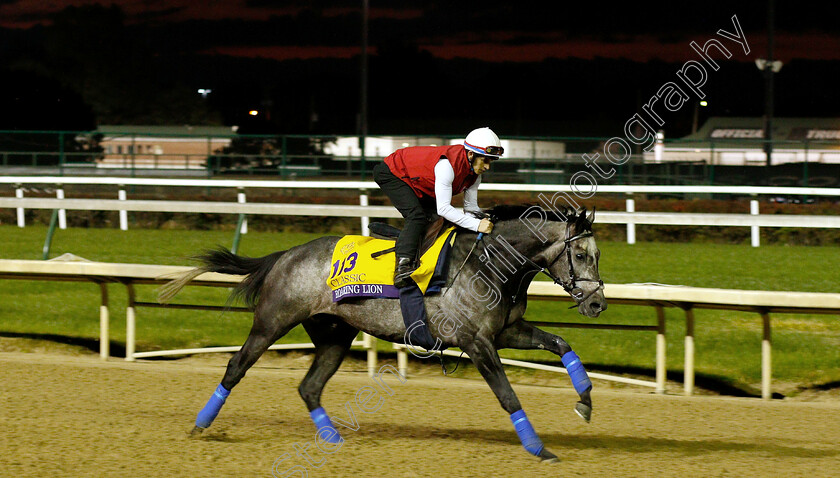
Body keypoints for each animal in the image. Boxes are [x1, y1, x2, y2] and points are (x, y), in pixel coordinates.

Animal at [161, 205, 604, 464]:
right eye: (581, 254)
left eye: (598, 255)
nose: (598, 303)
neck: (491, 264)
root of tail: (286, 255)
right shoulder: (475, 342)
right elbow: (508, 395)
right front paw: (539, 448)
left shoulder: (506, 331)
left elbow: (563, 344)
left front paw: (584, 403)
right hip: (273, 321)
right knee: (236, 366)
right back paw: (200, 426)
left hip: (335, 335)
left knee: (310, 386)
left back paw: (333, 440)